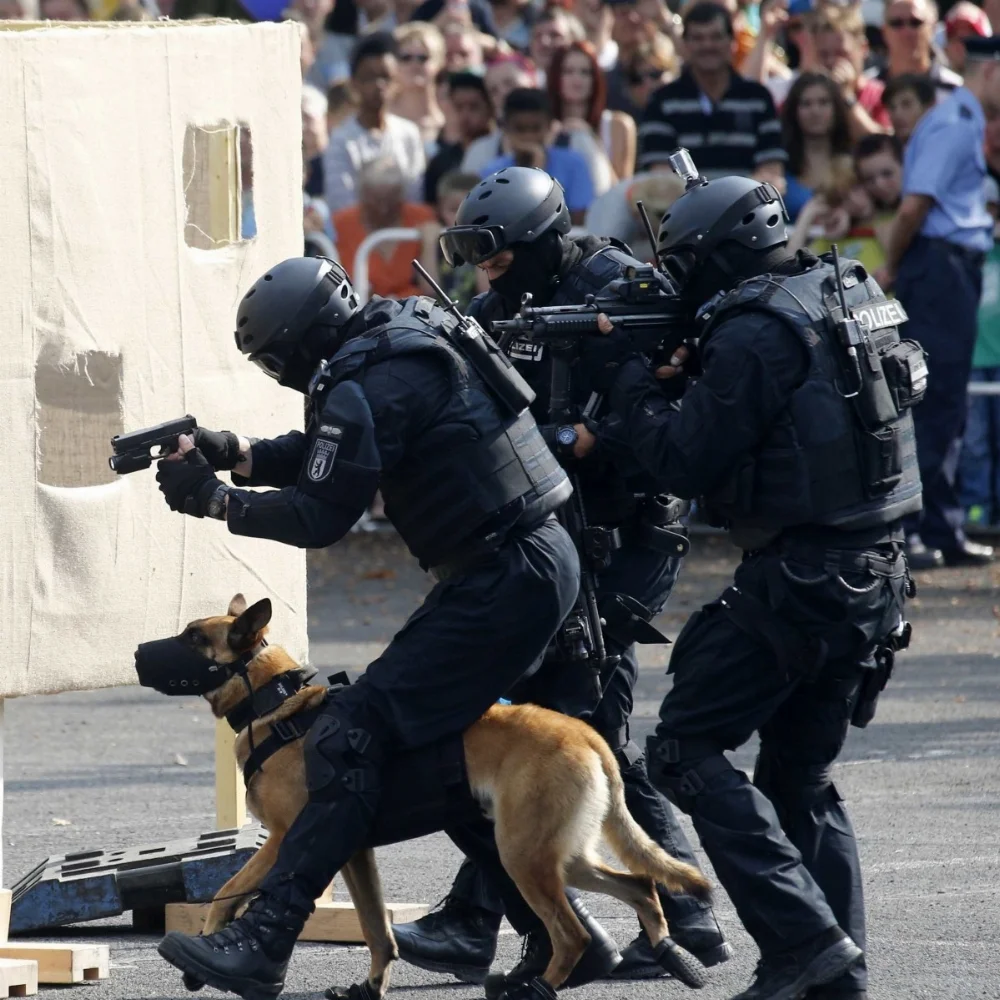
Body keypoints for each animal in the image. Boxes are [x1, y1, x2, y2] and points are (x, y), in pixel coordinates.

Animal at [160, 596, 708, 996]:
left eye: (194, 638)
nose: (147, 652)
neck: (277, 707)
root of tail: (586, 734)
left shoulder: (283, 841)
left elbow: (228, 892)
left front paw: (207, 954)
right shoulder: (354, 854)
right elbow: (376, 932)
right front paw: (370, 988)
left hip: (522, 856)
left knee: (570, 933)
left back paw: (538, 989)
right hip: (559, 857)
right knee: (641, 884)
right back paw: (670, 953)